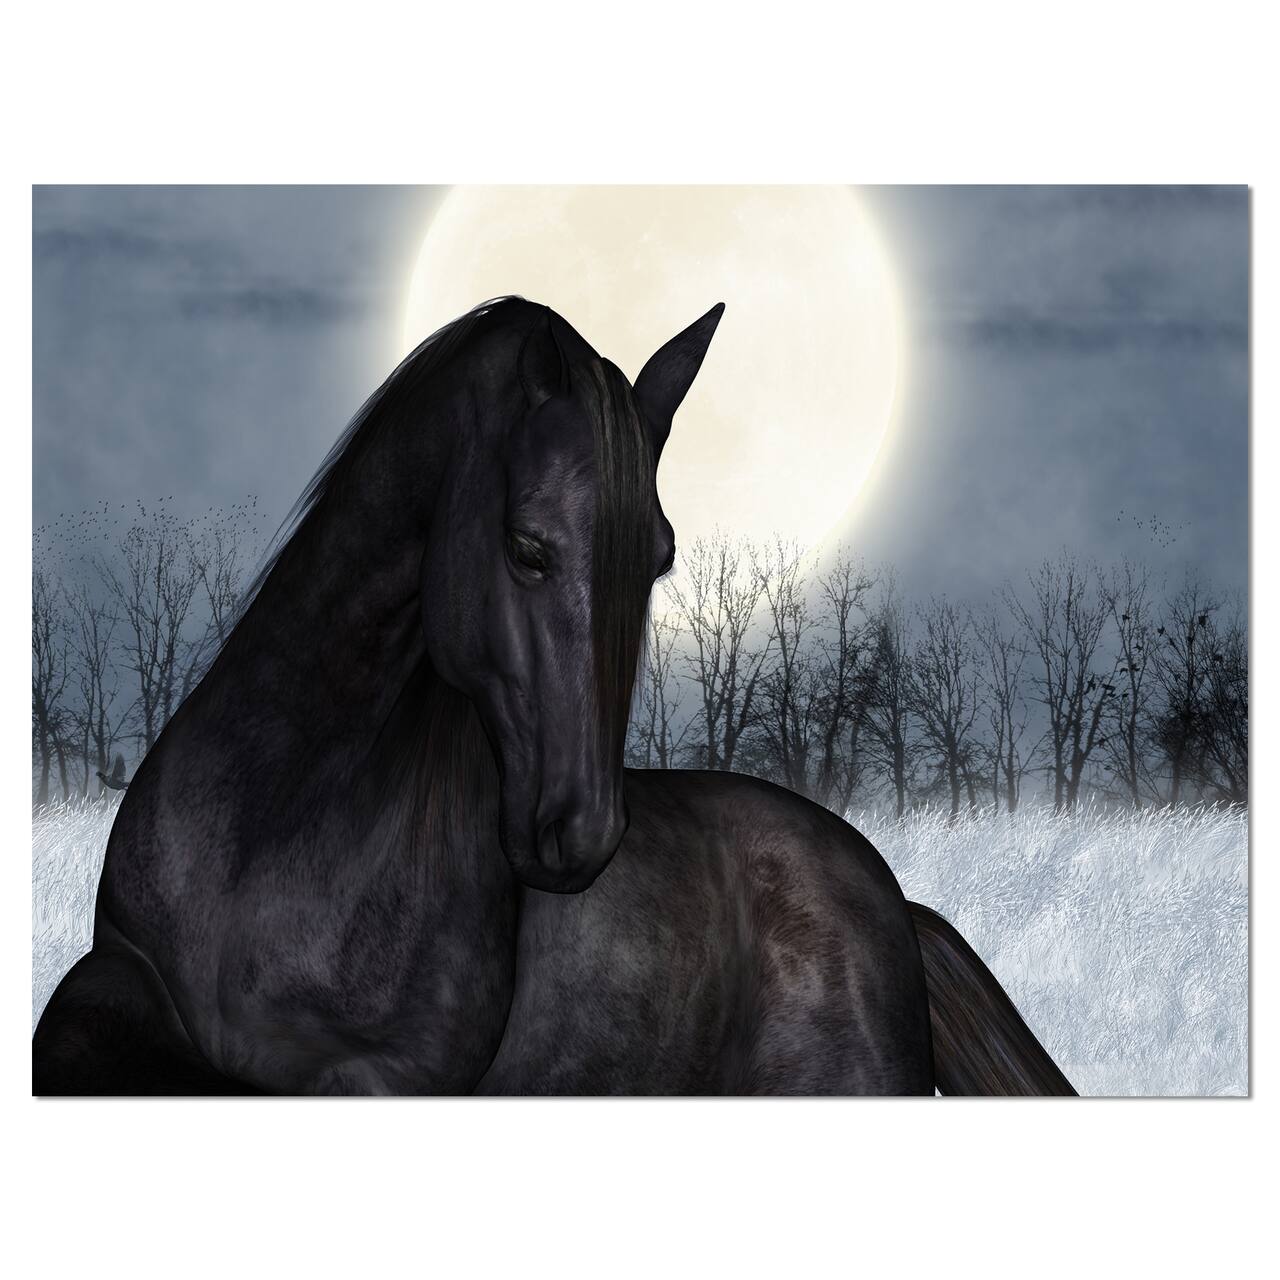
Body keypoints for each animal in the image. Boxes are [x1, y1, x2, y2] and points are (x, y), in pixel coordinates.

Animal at [33, 297, 1075, 1096]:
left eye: (658, 560)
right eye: (527, 548)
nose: (581, 834)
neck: (276, 831)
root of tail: (896, 903)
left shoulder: (378, 1076)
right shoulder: (113, 980)